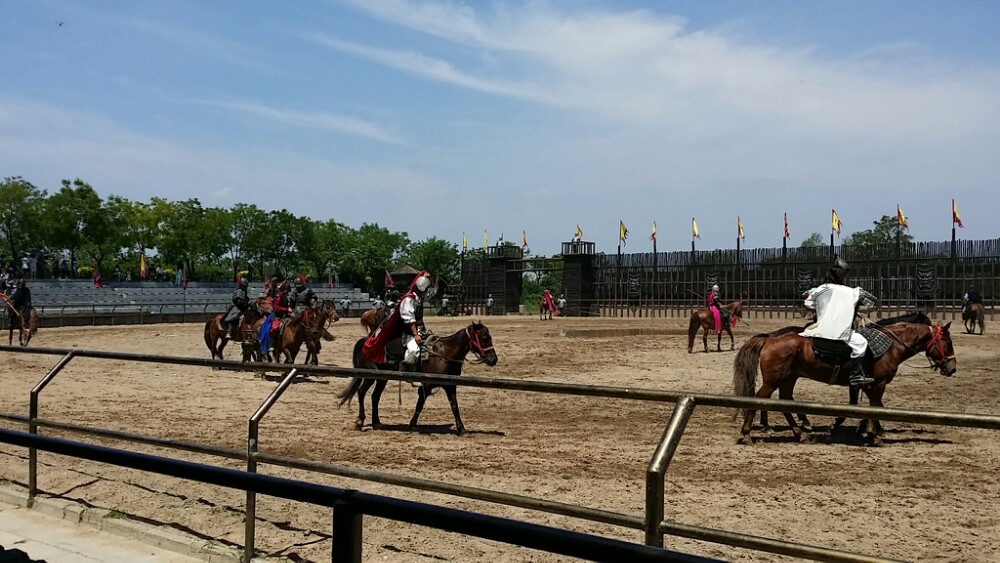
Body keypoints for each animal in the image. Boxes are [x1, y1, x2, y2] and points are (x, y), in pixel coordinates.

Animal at [340, 322, 500, 436]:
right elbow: (419, 405)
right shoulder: (427, 386)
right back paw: (360, 420)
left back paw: (376, 422)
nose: (493, 359)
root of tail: (366, 341)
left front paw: (462, 429)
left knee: (375, 396)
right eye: (484, 338)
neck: (444, 354)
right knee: (361, 392)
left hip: (382, 379)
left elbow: (455, 407)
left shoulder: (450, 386)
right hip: (370, 375)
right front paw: (412, 426)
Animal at [732, 322, 956, 446]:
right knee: (760, 400)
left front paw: (867, 429)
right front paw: (875, 435)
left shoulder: (866, 386)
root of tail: (769, 339)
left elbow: (867, 407)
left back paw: (801, 434)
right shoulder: (878, 384)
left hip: (788, 379)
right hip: (774, 380)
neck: (891, 346)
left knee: (785, 402)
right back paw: (747, 434)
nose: (952, 368)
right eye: (947, 342)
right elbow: (875, 407)